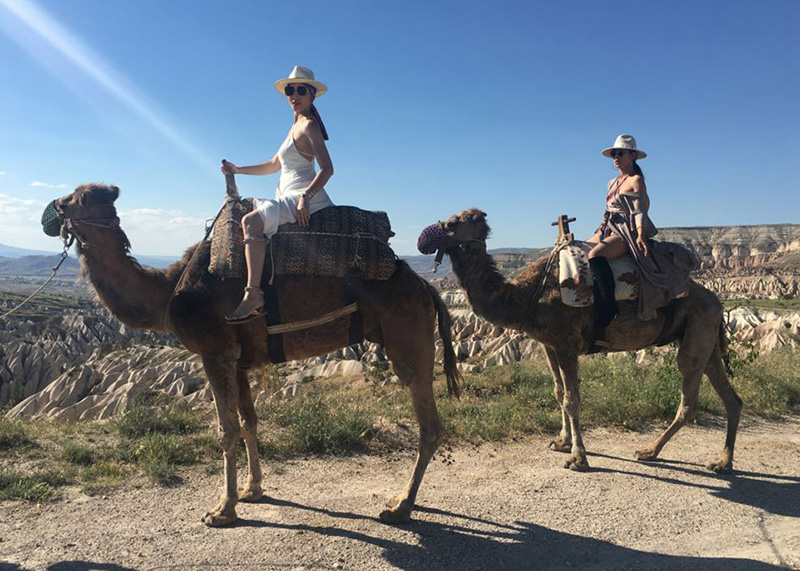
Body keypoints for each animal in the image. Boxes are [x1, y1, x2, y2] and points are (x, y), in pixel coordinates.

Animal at [47, 183, 460, 528]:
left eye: (79, 198)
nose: (55, 206)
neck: (168, 292)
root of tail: (426, 287)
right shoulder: (240, 361)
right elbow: (249, 422)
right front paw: (252, 491)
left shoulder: (215, 352)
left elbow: (226, 430)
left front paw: (222, 510)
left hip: (408, 340)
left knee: (428, 424)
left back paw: (400, 506)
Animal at [422, 210, 740, 474]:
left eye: (453, 223)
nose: (426, 237)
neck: (527, 296)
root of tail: (717, 301)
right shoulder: (548, 345)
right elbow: (558, 391)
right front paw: (561, 442)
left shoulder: (567, 344)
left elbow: (572, 399)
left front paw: (578, 458)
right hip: (706, 338)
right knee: (730, 397)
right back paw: (720, 462)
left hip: (697, 334)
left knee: (688, 397)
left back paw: (652, 451)